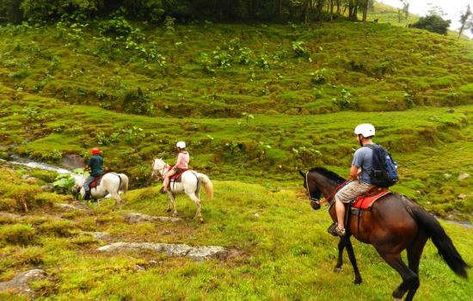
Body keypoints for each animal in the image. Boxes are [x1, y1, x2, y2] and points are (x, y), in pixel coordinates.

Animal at [300, 168, 466, 298]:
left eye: (304, 185)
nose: (314, 205)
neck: (335, 191)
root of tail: (411, 208)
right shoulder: (348, 232)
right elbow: (342, 247)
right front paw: (339, 266)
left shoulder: (344, 230)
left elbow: (350, 254)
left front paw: (357, 279)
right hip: (414, 250)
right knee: (416, 281)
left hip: (388, 251)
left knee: (410, 277)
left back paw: (397, 293)